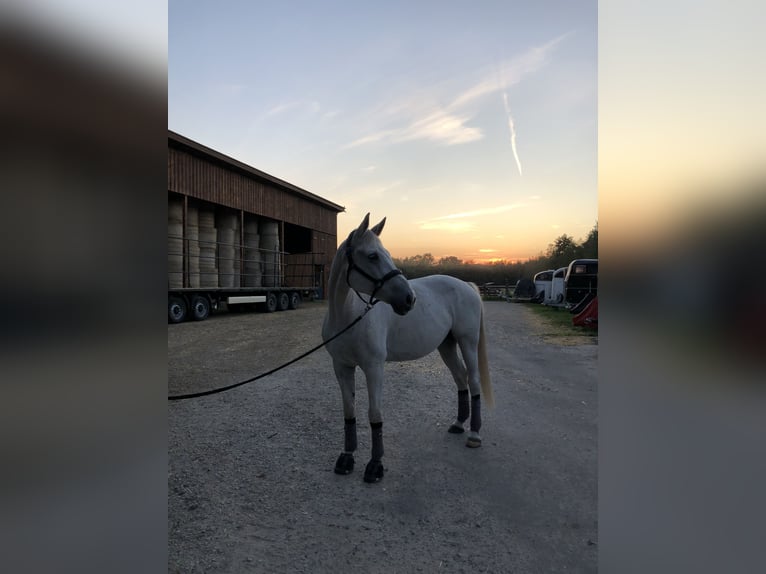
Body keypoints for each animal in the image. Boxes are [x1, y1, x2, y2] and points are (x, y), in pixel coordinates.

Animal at [320, 214, 496, 484]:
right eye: (372, 256)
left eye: (387, 253)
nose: (409, 299)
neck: (348, 316)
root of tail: (466, 285)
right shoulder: (341, 367)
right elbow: (349, 411)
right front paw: (347, 458)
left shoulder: (374, 368)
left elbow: (374, 413)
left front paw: (375, 465)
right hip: (446, 345)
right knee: (460, 378)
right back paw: (458, 424)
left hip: (467, 342)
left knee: (474, 380)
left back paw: (474, 435)